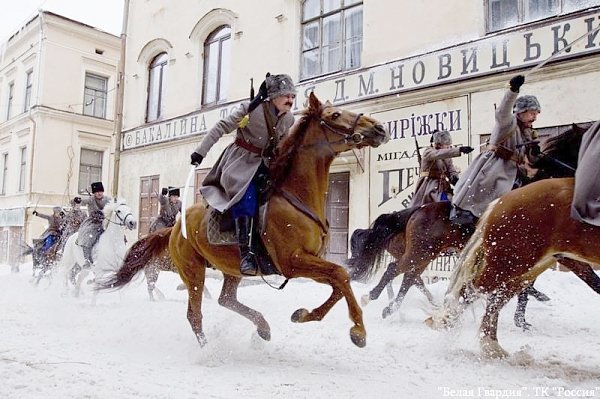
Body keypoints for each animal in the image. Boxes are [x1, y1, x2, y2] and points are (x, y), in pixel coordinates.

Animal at [98, 92, 390, 348]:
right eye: (335, 115)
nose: (378, 128)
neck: (295, 195)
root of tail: (173, 228)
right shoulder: (292, 262)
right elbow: (340, 275)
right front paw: (358, 331)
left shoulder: (310, 261)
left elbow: (340, 281)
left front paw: (303, 315)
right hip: (194, 271)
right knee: (195, 314)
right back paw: (208, 350)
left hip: (231, 268)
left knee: (226, 299)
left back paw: (262, 327)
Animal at [350, 122, 588, 322]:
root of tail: (415, 211)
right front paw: (521, 317)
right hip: (420, 252)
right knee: (398, 271)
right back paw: (375, 298)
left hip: (426, 254)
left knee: (409, 277)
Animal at [426, 177, 600, 358]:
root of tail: (499, 202)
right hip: (510, 263)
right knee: (471, 290)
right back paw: (446, 322)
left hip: (524, 268)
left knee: (496, 298)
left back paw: (492, 346)